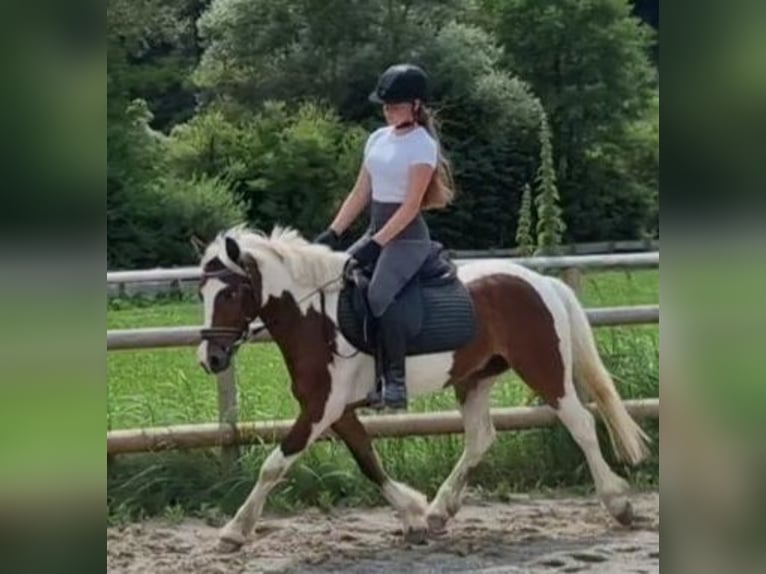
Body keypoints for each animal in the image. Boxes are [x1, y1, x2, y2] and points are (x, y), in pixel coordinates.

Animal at [195, 224, 652, 552]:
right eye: (203, 291)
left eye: (231, 292)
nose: (210, 359)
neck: (315, 316)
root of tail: (542, 282)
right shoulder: (336, 408)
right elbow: (368, 459)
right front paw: (413, 515)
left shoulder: (322, 407)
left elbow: (275, 464)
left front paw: (234, 531)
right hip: (475, 378)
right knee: (481, 437)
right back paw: (438, 511)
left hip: (544, 369)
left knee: (581, 424)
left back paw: (619, 504)